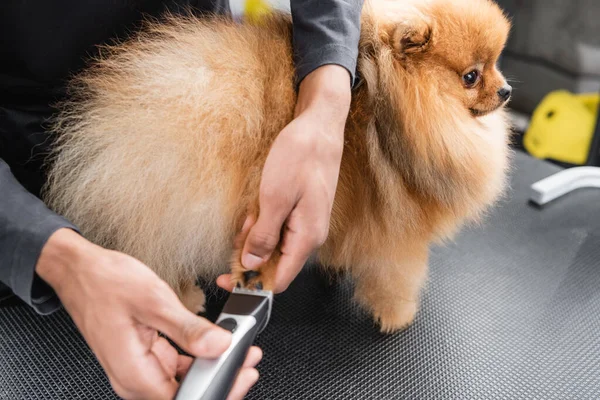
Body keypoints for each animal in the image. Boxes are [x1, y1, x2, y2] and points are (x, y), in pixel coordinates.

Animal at [43, 0, 510, 332]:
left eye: (496, 64)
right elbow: (397, 277)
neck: (400, 108)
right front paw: (396, 315)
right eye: (471, 76)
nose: (506, 91)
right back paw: (183, 298)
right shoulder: (400, 237)